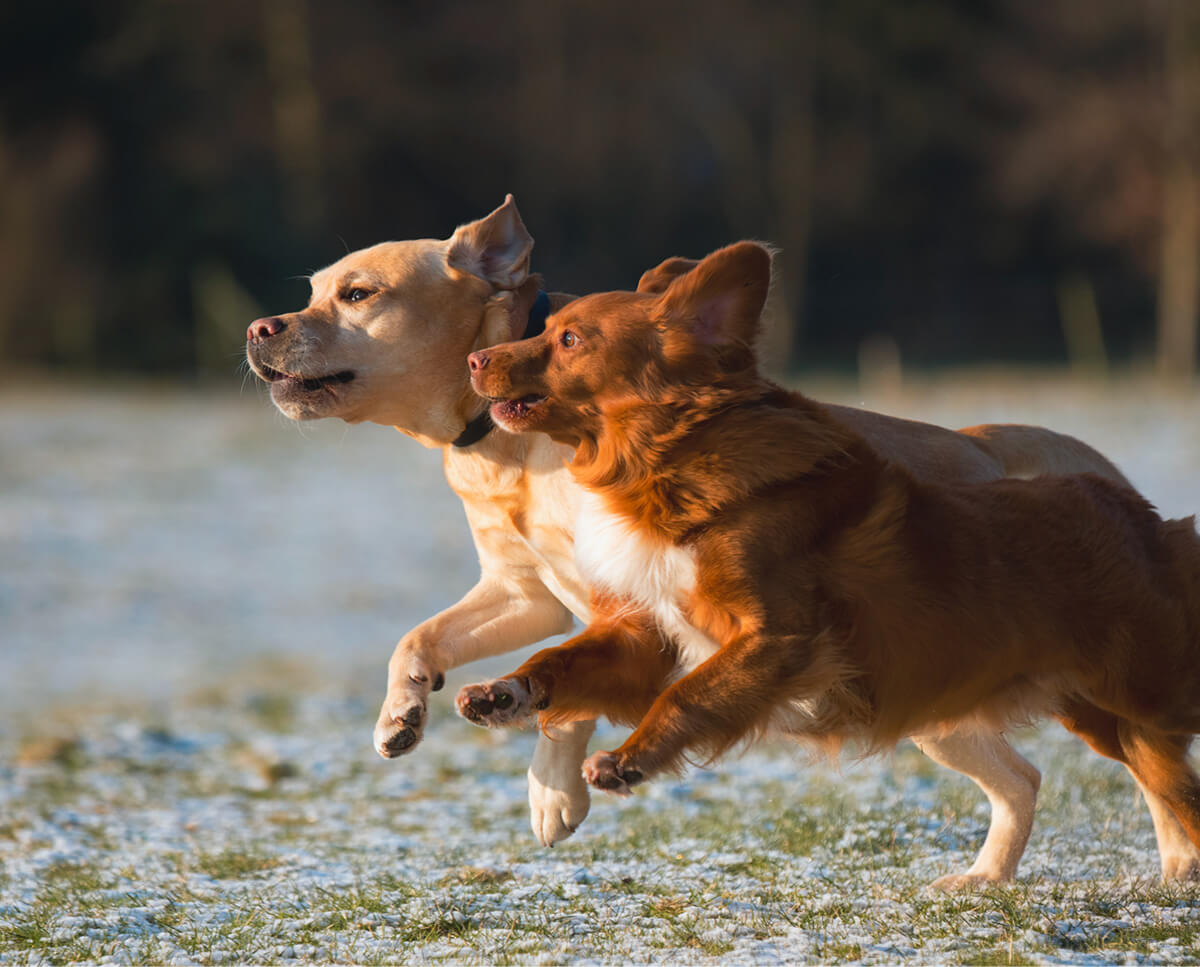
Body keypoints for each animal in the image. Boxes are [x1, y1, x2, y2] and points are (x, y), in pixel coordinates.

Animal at [241, 196, 1190, 887]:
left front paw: (553, 792)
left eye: (358, 294)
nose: (260, 328)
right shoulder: (526, 591)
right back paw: (988, 878)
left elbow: (573, 702)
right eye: (314, 289)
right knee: (1025, 778)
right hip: (924, 704)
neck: (506, 449)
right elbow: (422, 638)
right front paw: (402, 713)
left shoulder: (623, 603)